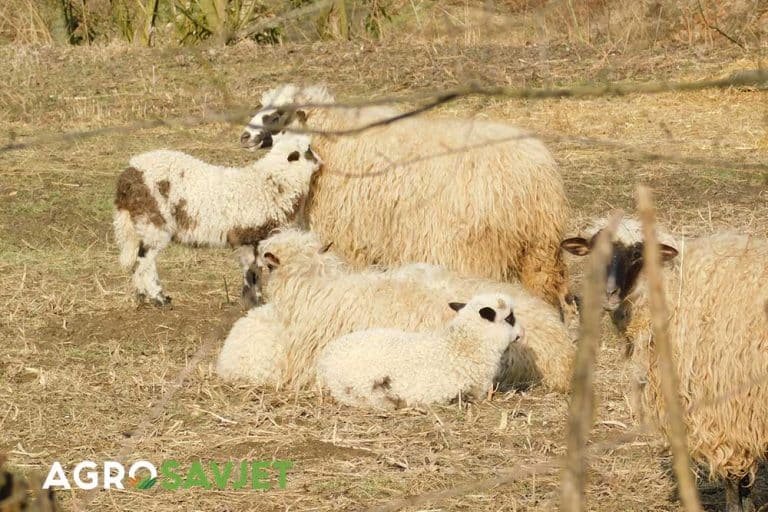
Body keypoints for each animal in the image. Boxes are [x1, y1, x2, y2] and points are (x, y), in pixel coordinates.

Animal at [111, 134, 320, 306]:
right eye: (308, 150)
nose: (320, 161)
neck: (269, 184)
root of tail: (130, 173)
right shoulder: (248, 236)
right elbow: (253, 272)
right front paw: (255, 302)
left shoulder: (252, 239)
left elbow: (253, 271)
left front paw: (252, 301)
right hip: (154, 222)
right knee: (145, 261)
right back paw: (158, 298)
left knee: (138, 260)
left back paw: (142, 296)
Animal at [240, 84, 568, 308]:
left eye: (277, 115)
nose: (244, 136)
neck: (333, 141)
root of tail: (533, 174)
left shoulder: (349, 236)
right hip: (541, 249)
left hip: (473, 248)